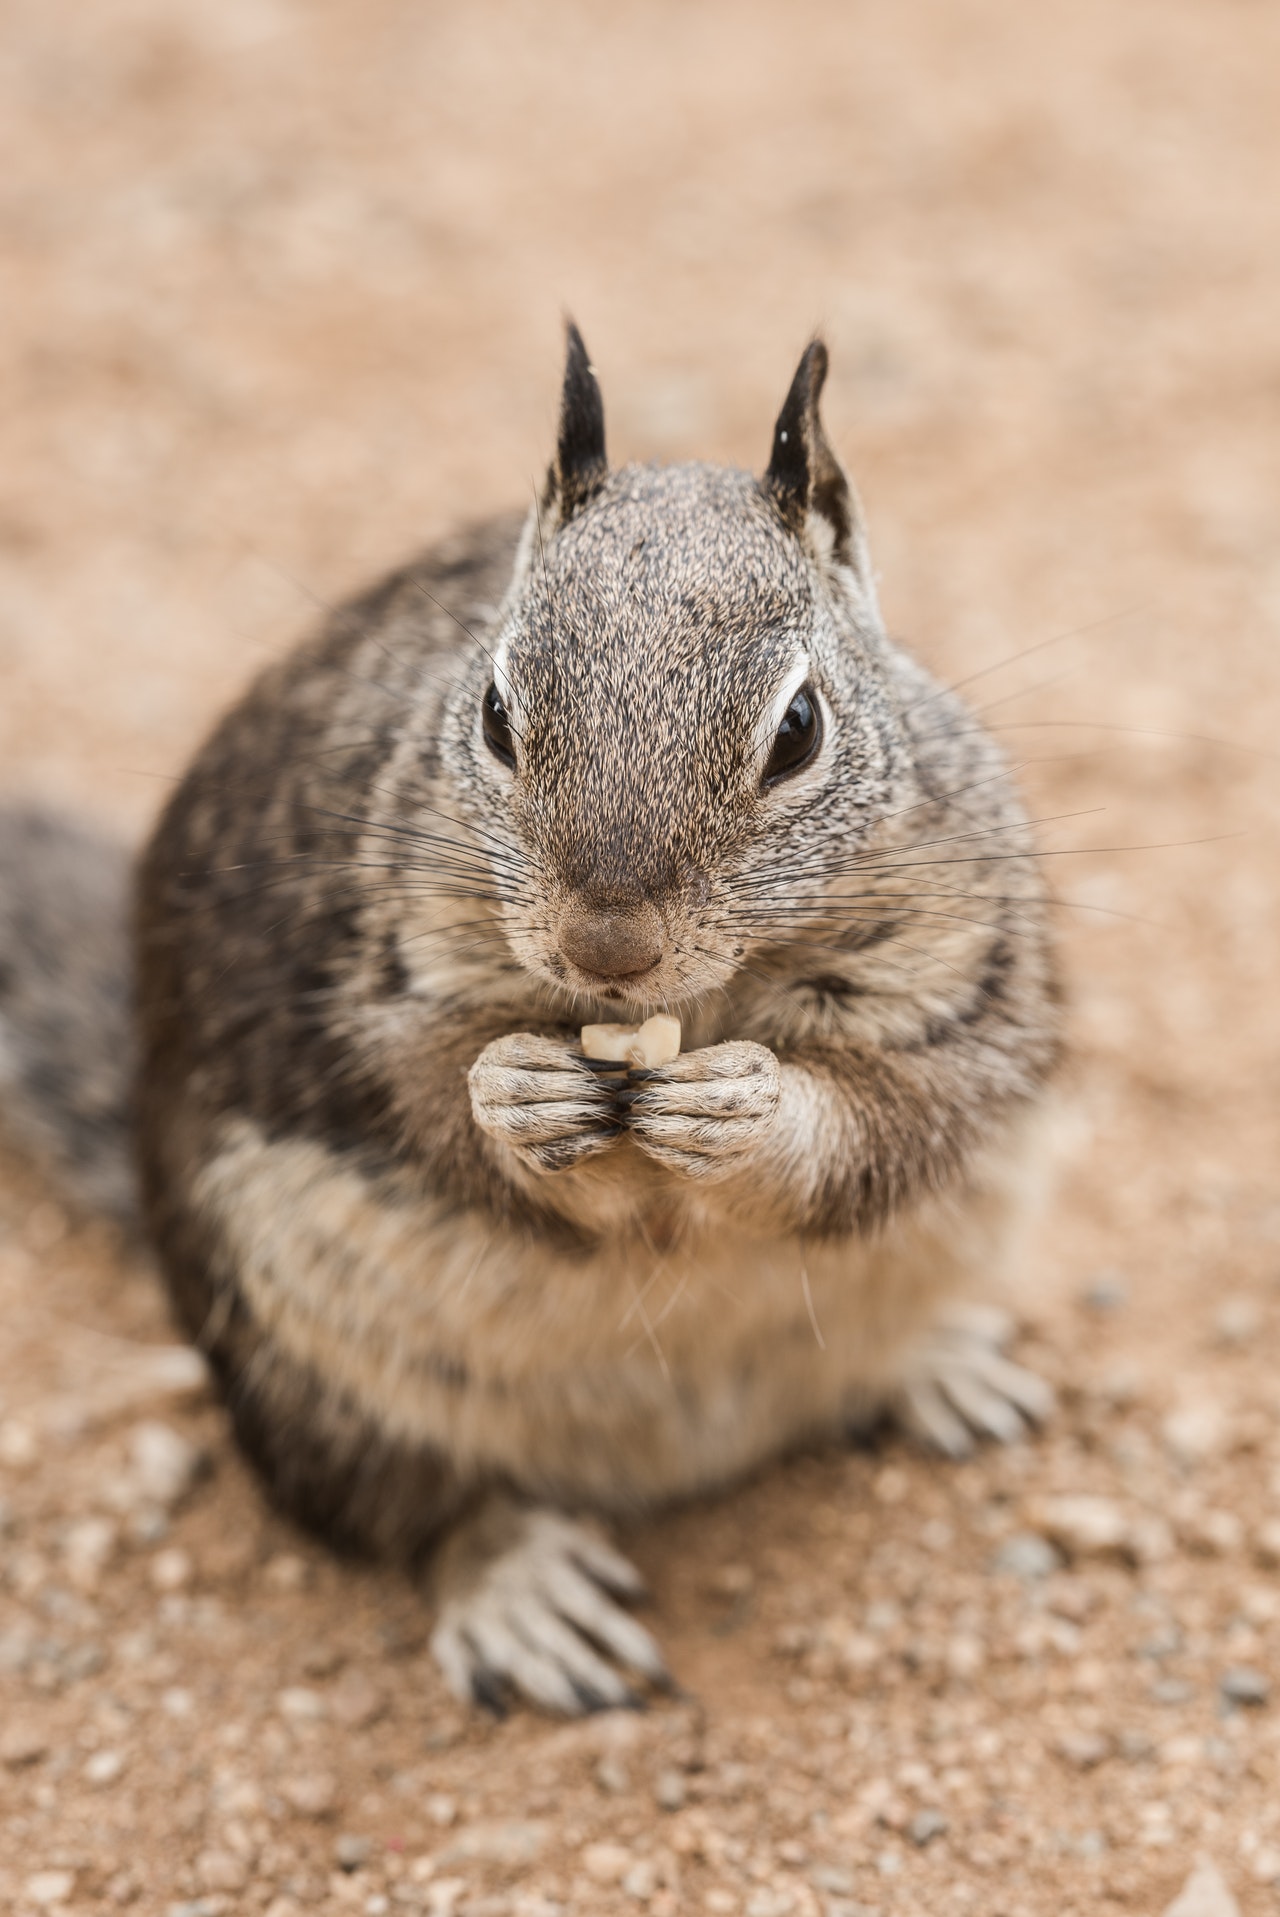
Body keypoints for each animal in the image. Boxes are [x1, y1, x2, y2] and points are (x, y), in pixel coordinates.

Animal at [0, 329, 1057, 1725]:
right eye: (496, 713)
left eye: (797, 728)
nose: (604, 949)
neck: (676, 1012)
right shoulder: (383, 980)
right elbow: (426, 1097)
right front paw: (513, 1098)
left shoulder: (965, 969)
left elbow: (904, 1112)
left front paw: (754, 1109)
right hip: (297, 1369)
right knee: (409, 1513)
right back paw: (516, 1585)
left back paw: (937, 1362)